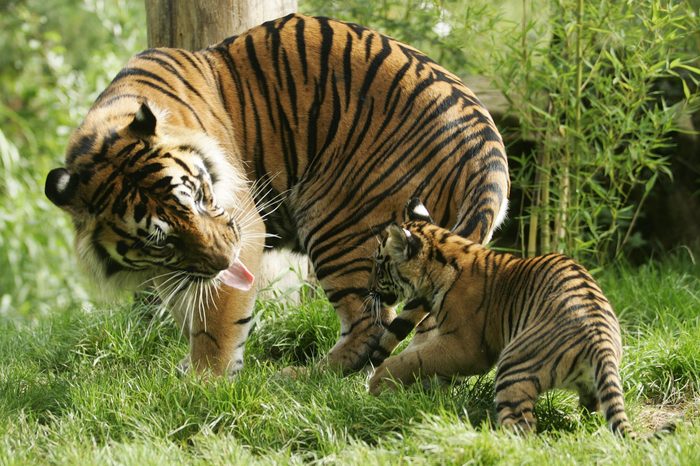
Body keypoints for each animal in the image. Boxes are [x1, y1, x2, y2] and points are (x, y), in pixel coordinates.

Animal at [44, 13, 509, 377]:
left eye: (196, 198)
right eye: (159, 239)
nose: (225, 260)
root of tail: (484, 140)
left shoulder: (243, 222)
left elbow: (216, 317)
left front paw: (204, 383)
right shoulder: (178, 265)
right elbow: (188, 303)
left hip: (341, 224)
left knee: (372, 322)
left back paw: (305, 376)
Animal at [367, 198, 635, 436]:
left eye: (379, 266)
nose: (368, 291)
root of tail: (600, 341)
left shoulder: (465, 348)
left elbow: (415, 359)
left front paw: (378, 382)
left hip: (514, 364)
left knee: (521, 428)